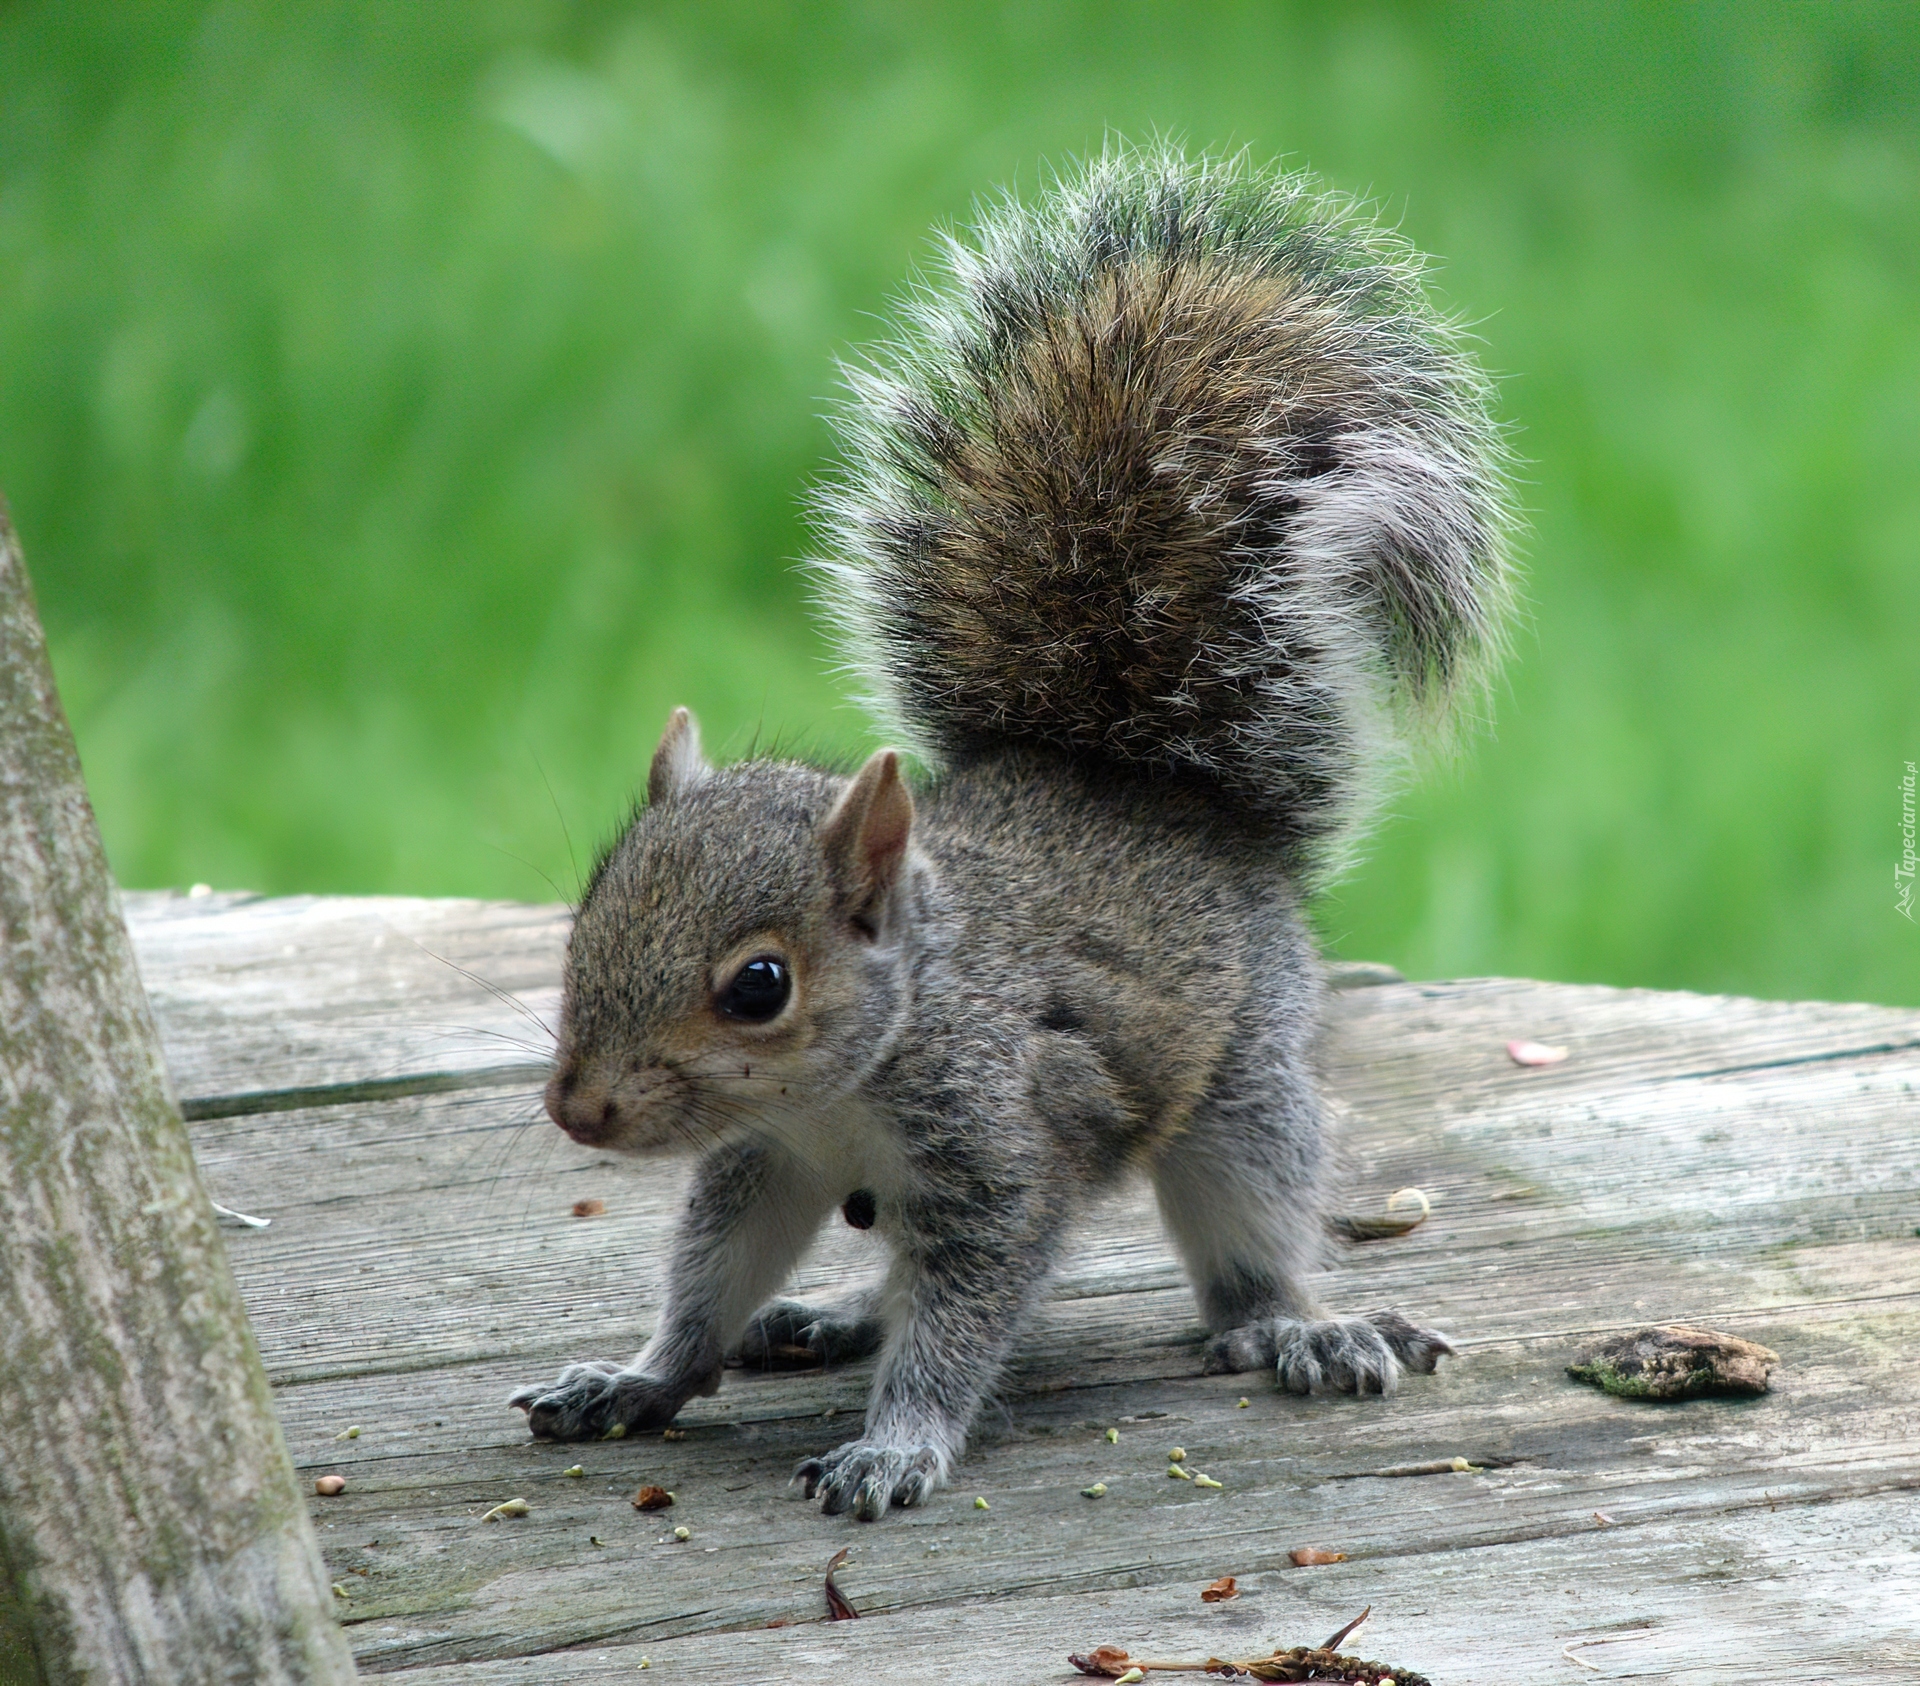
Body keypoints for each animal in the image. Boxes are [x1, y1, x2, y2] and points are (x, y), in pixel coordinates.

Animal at [510, 144, 1512, 1528]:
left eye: (759, 986)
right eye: (585, 920)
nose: (577, 1109)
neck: (857, 1075)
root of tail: (1144, 792)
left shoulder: (1006, 1149)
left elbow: (965, 1316)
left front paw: (897, 1447)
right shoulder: (767, 1160)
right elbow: (712, 1277)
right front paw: (640, 1376)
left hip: (1245, 1088)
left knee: (1249, 1241)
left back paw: (1295, 1326)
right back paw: (833, 1314)